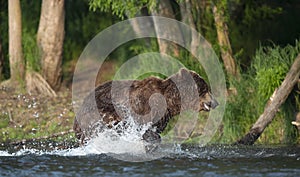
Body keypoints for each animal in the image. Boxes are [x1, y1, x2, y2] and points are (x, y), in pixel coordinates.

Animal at [72, 68, 218, 145]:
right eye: (205, 89)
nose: (216, 102)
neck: (170, 101)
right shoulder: (146, 110)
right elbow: (147, 131)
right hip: (100, 114)